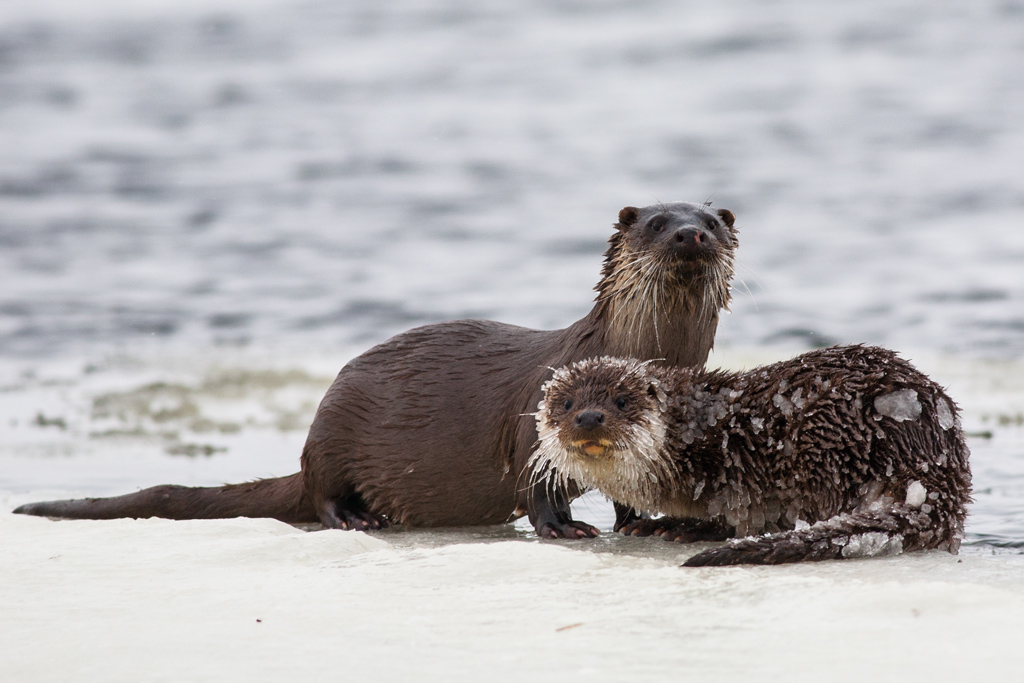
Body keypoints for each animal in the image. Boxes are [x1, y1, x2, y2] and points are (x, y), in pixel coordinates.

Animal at [15, 202, 739, 538]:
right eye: (655, 221)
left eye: (711, 219)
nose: (690, 233)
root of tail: (307, 449)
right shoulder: (541, 410)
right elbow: (537, 480)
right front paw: (564, 527)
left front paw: (643, 522)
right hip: (335, 429)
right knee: (323, 494)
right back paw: (360, 518)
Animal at [531, 346, 971, 562]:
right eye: (566, 403)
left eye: (621, 401)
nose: (589, 417)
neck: (694, 433)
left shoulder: (737, 464)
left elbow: (743, 513)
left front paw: (684, 526)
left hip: (825, 444)